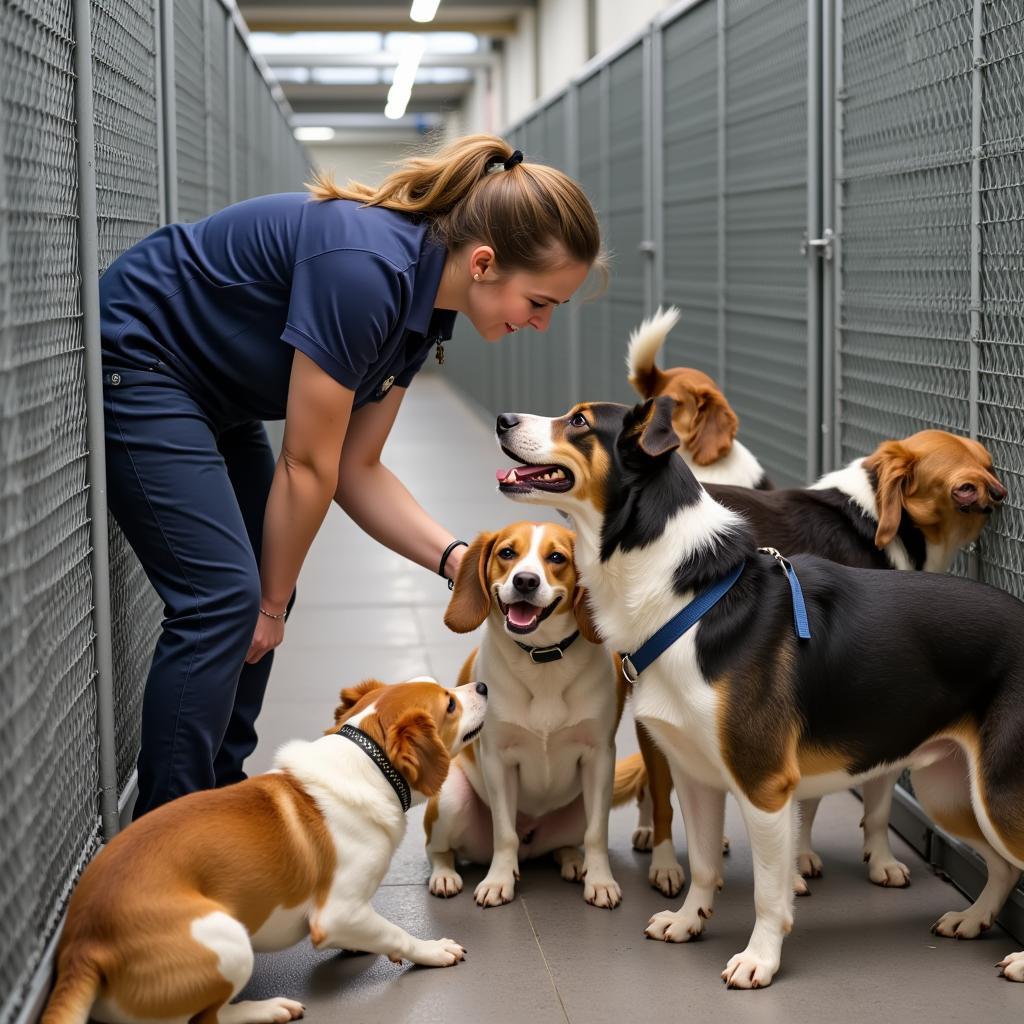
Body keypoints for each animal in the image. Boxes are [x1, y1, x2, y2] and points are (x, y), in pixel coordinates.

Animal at [39, 675, 487, 1024]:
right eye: (449, 703)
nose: (482, 685)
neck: (368, 762)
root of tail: (83, 947)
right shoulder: (338, 910)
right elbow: (395, 932)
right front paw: (430, 950)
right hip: (230, 940)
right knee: (207, 1017)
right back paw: (267, 1009)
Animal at [423, 524, 622, 909]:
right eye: (507, 553)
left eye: (557, 557)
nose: (526, 581)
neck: (542, 658)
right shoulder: (498, 760)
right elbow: (505, 834)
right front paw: (499, 880)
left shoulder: (600, 758)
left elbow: (598, 834)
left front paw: (600, 880)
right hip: (452, 798)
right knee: (438, 850)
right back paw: (445, 875)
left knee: (565, 843)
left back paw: (573, 861)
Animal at [493, 395, 1024, 987]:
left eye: (580, 421)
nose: (503, 421)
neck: (691, 598)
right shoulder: (696, 773)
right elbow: (703, 863)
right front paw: (689, 921)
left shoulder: (765, 783)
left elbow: (772, 889)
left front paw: (760, 959)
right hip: (952, 791)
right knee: (1003, 867)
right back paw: (973, 919)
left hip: (997, 792)